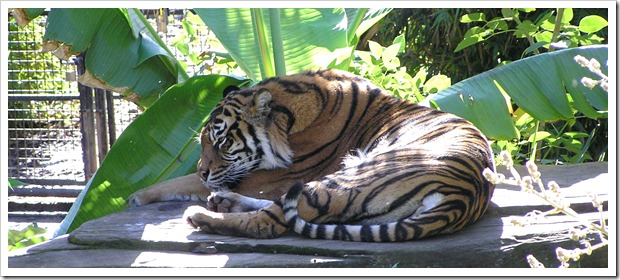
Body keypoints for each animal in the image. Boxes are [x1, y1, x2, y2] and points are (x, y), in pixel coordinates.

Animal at [128, 69, 496, 242]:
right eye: (203, 143)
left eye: (221, 142)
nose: (205, 170)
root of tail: (463, 196)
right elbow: (184, 180)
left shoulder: (267, 178)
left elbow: (185, 180)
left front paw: (136, 196)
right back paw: (222, 202)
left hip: (349, 177)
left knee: (268, 221)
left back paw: (202, 215)